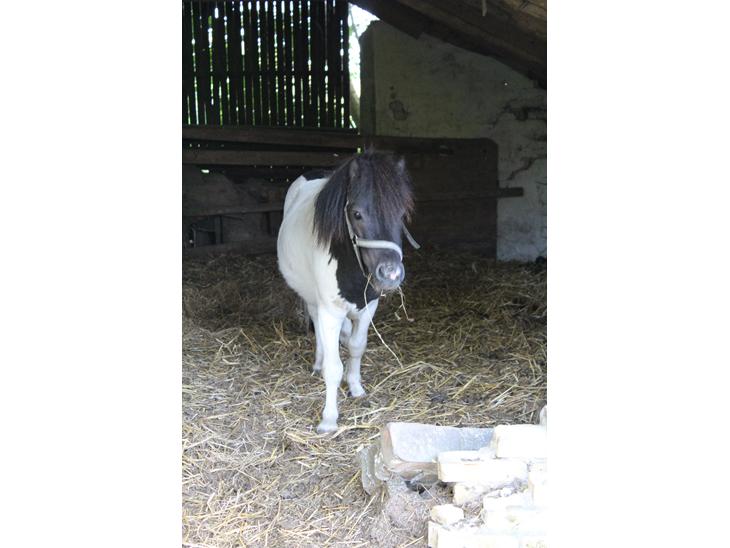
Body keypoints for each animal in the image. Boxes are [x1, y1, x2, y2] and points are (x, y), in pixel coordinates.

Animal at [277, 151, 418, 433]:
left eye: (402, 214)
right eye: (357, 213)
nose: (390, 274)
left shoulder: (368, 307)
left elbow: (356, 346)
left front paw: (355, 387)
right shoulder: (330, 311)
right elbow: (333, 367)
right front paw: (329, 419)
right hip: (312, 298)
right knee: (317, 325)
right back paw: (318, 362)